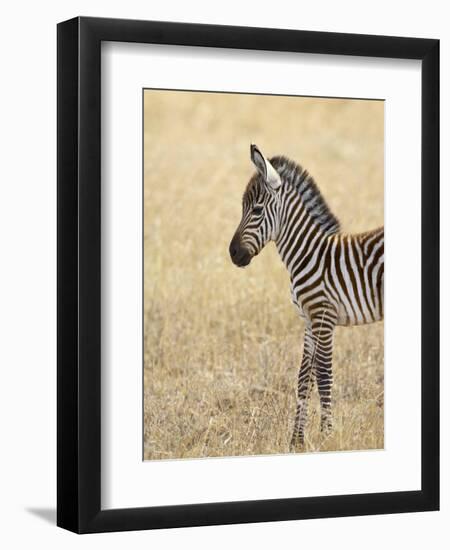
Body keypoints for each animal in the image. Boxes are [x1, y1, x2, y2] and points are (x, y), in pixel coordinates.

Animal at [229, 144, 384, 450]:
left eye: (256, 209)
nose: (233, 254)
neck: (308, 252)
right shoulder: (309, 321)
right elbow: (304, 378)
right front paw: (296, 441)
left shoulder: (323, 316)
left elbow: (324, 376)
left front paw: (327, 436)